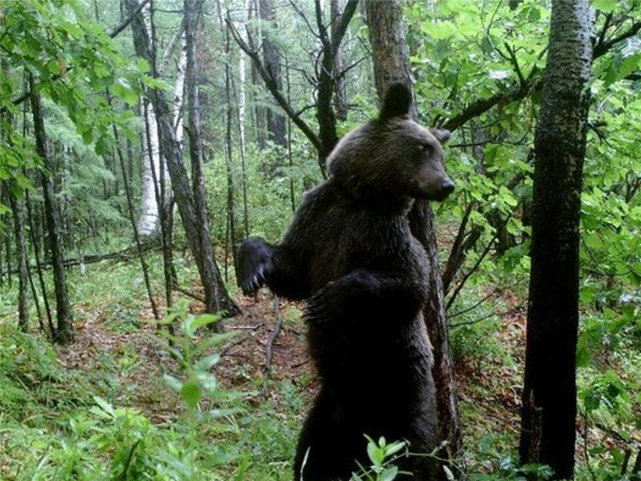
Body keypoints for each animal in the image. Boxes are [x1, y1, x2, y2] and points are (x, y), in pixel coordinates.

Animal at [238, 84, 452, 478]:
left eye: (439, 152)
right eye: (422, 148)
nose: (446, 184)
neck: (358, 199)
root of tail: (364, 436)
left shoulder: (384, 234)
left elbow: (409, 283)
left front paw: (330, 298)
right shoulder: (318, 219)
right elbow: (293, 270)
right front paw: (252, 269)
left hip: (403, 388)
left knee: (416, 452)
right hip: (328, 412)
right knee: (309, 456)